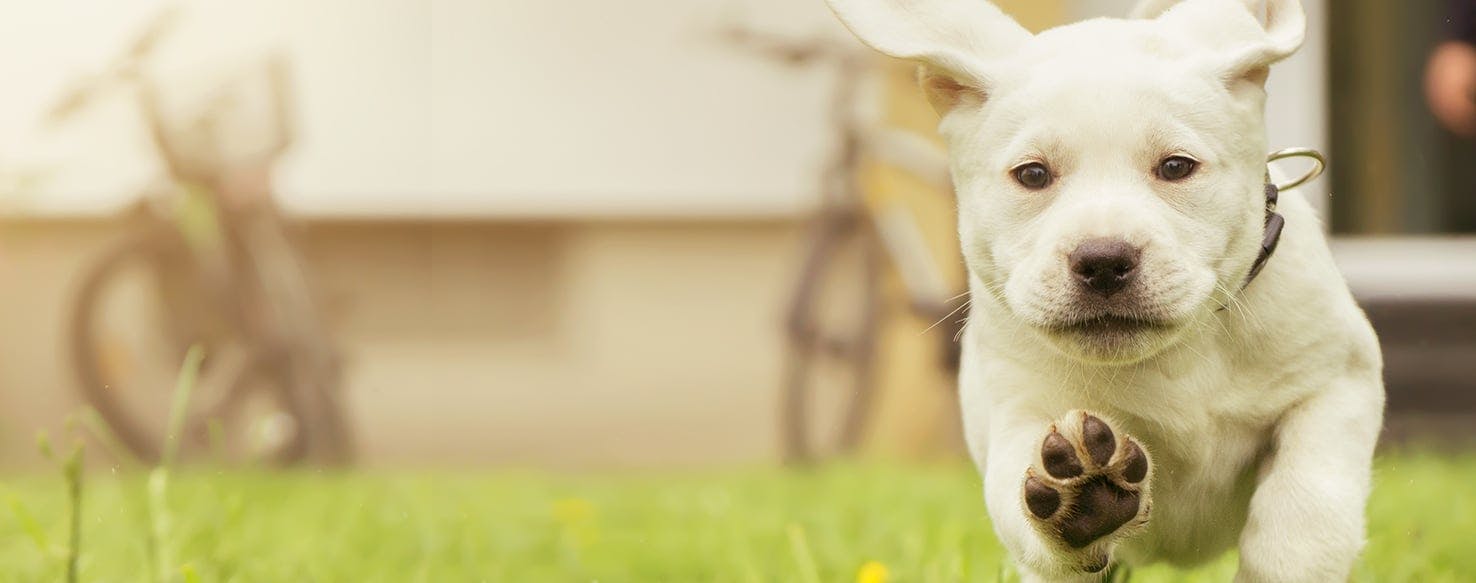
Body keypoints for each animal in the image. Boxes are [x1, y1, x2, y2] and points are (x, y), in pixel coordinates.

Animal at [826, 0, 1375, 581]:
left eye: (1176, 167)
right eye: (1032, 174)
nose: (1104, 261)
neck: (1177, 357)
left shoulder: (1334, 384)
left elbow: (1302, 517)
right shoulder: (1020, 413)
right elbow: (1023, 506)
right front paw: (1083, 500)